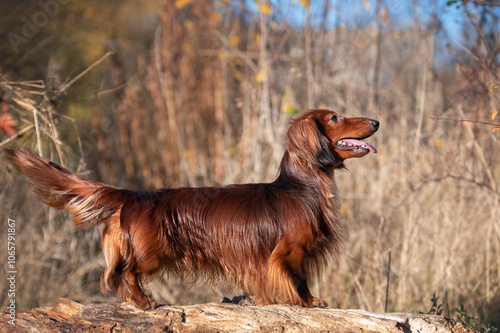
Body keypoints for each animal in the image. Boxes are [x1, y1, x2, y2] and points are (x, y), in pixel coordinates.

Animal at [4, 109, 378, 308]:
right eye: (335, 117)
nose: (375, 121)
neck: (302, 187)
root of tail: (132, 195)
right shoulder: (290, 253)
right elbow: (298, 279)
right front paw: (308, 301)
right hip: (150, 254)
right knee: (125, 273)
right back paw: (144, 302)